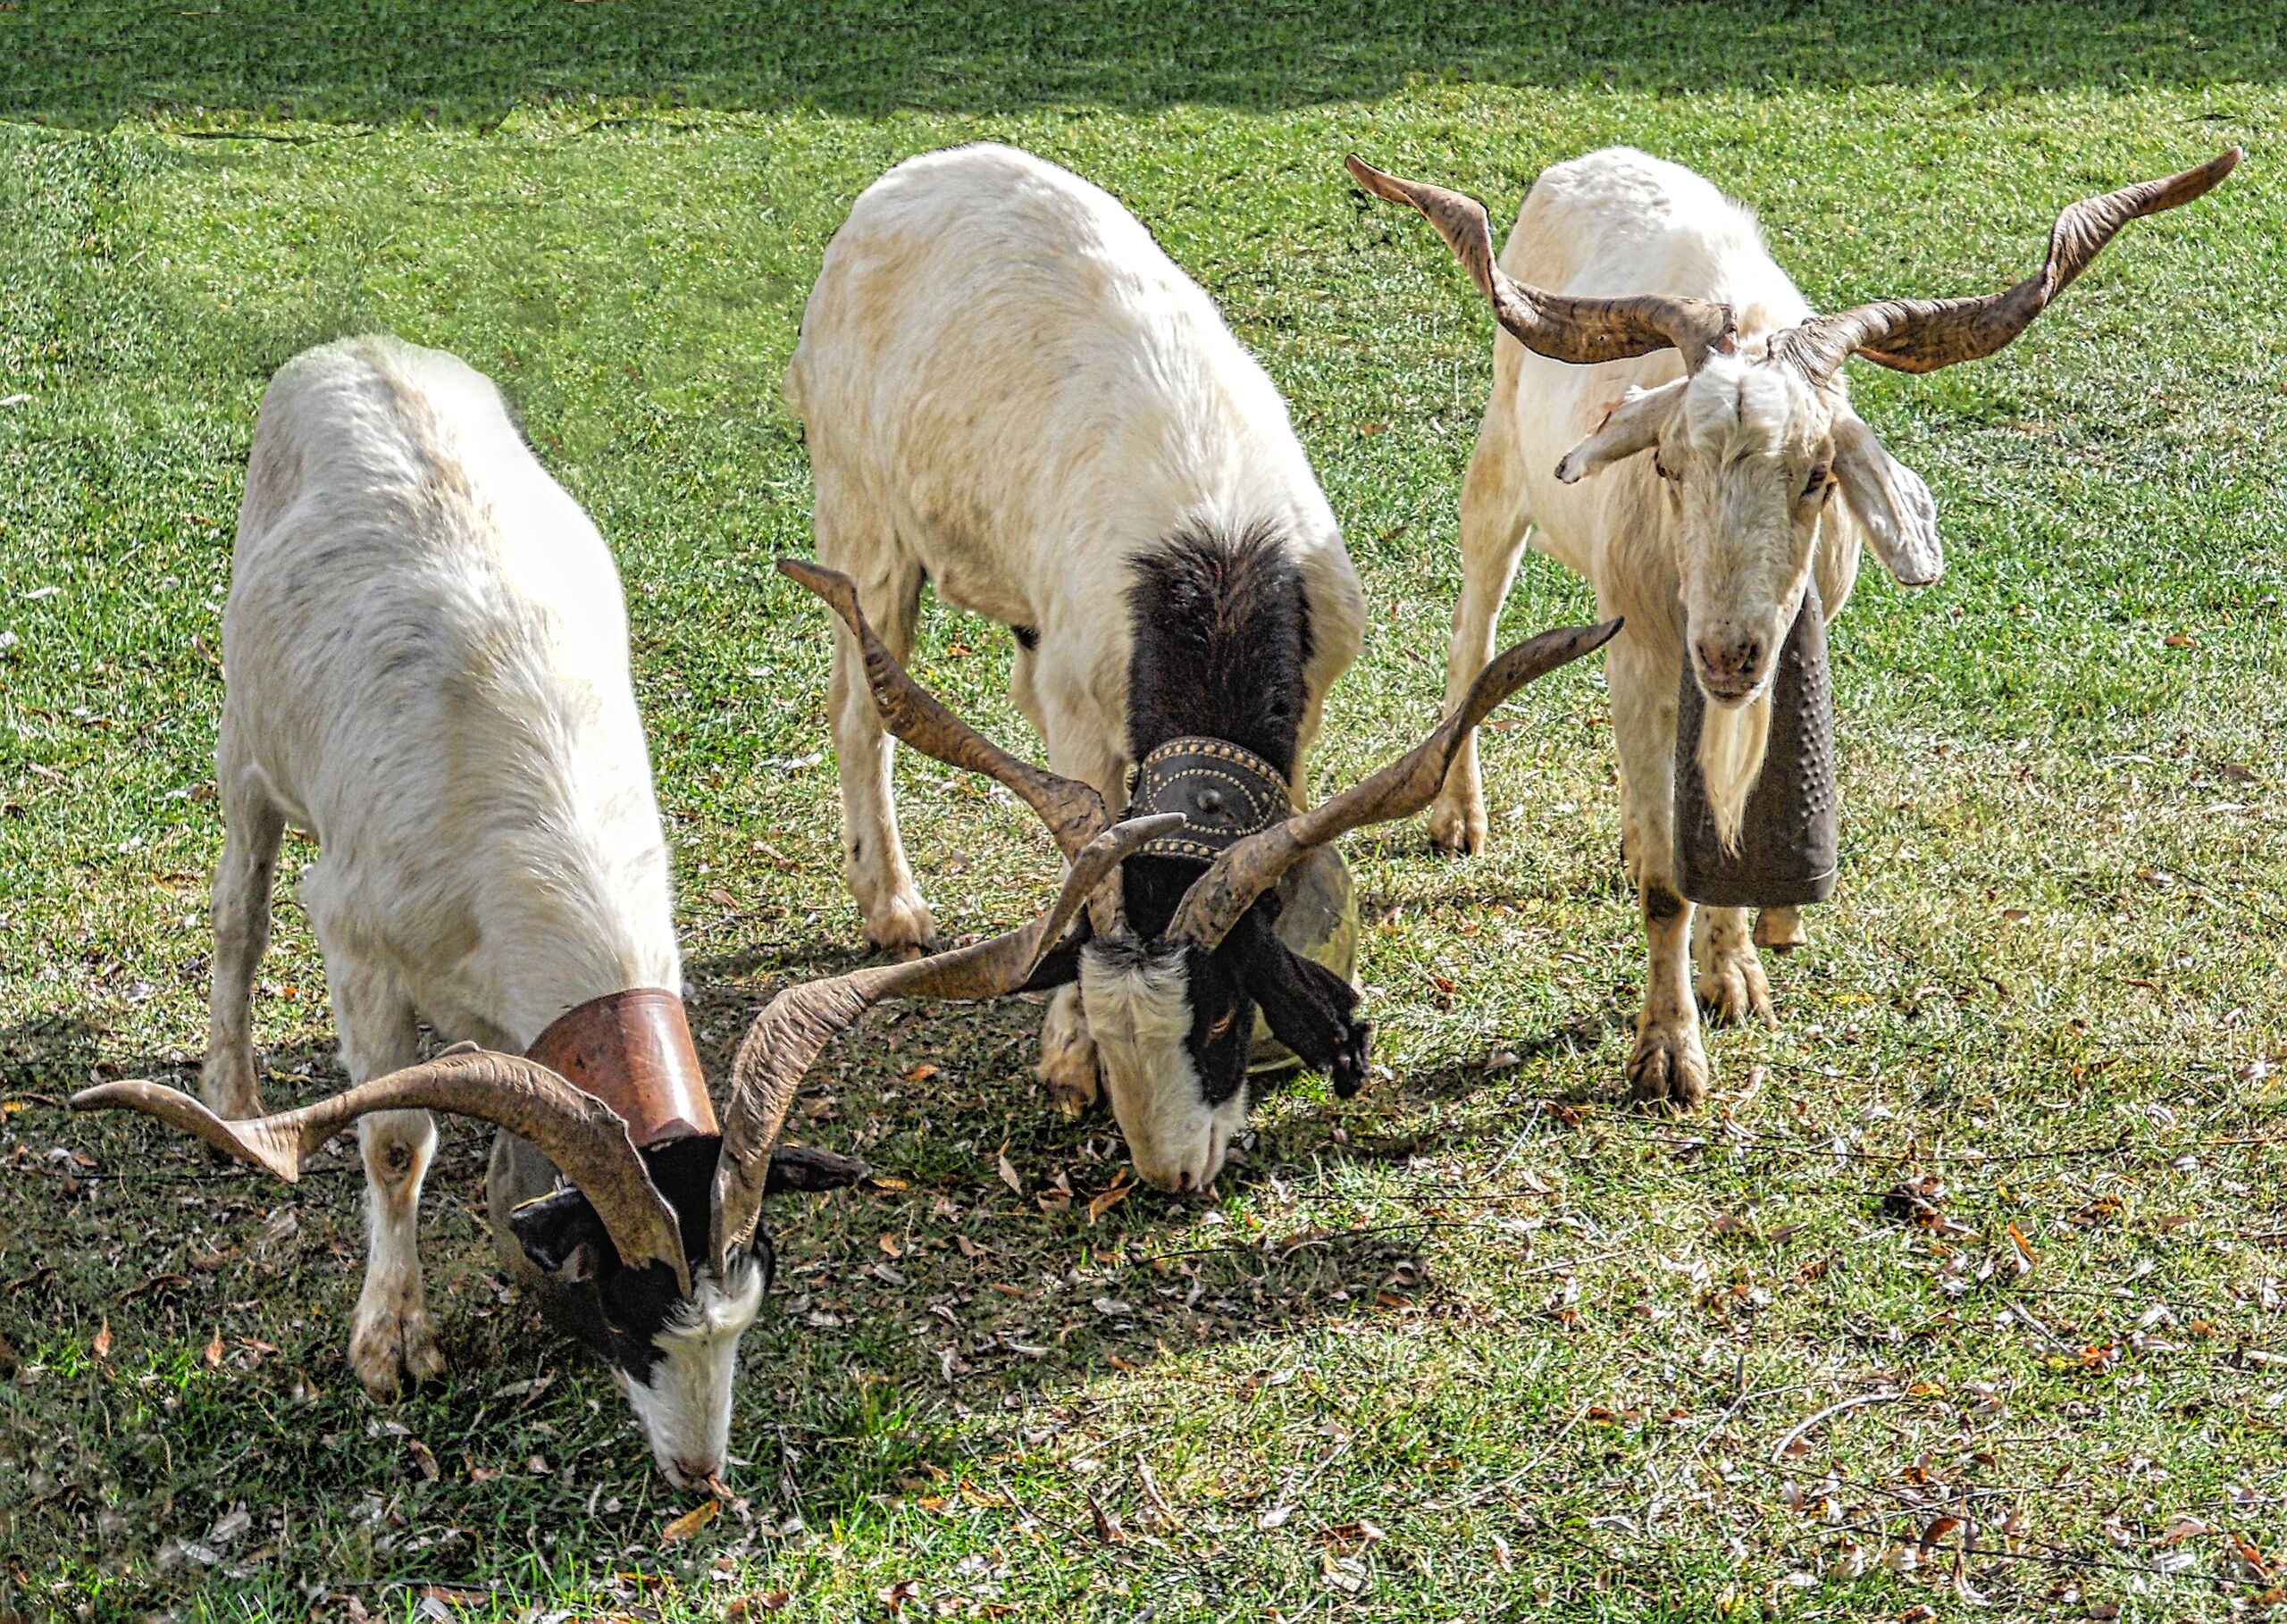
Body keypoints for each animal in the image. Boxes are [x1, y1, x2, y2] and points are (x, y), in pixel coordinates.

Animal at [65, 333, 905, 1489]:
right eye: (632, 1316)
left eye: (743, 1320)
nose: (700, 1476)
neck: (546, 829)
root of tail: (355, 345)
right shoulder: (360, 947)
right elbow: (395, 1141)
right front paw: (392, 1342)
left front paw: (516, 1241)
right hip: (248, 735)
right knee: (241, 904)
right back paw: (231, 1094)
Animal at [783, 142, 1614, 1192]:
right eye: (1113, 1030)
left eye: (1216, 1015)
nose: (1172, 1176)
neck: (1212, 566)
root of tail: (908, 177)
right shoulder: (1082, 709)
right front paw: (1066, 1054)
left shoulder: (1302, 694)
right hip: (860, 509)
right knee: (860, 711)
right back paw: (892, 907)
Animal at [1352, 144, 2237, 1107]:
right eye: (1669, 465)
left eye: (1817, 473)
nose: (1726, 652)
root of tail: (1591, 161)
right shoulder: (1651, 651)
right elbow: (1667, 883)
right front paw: (1668, 1054)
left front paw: (1736, 970)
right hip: (1498, 481)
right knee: (1475, 625)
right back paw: (1458, 817)